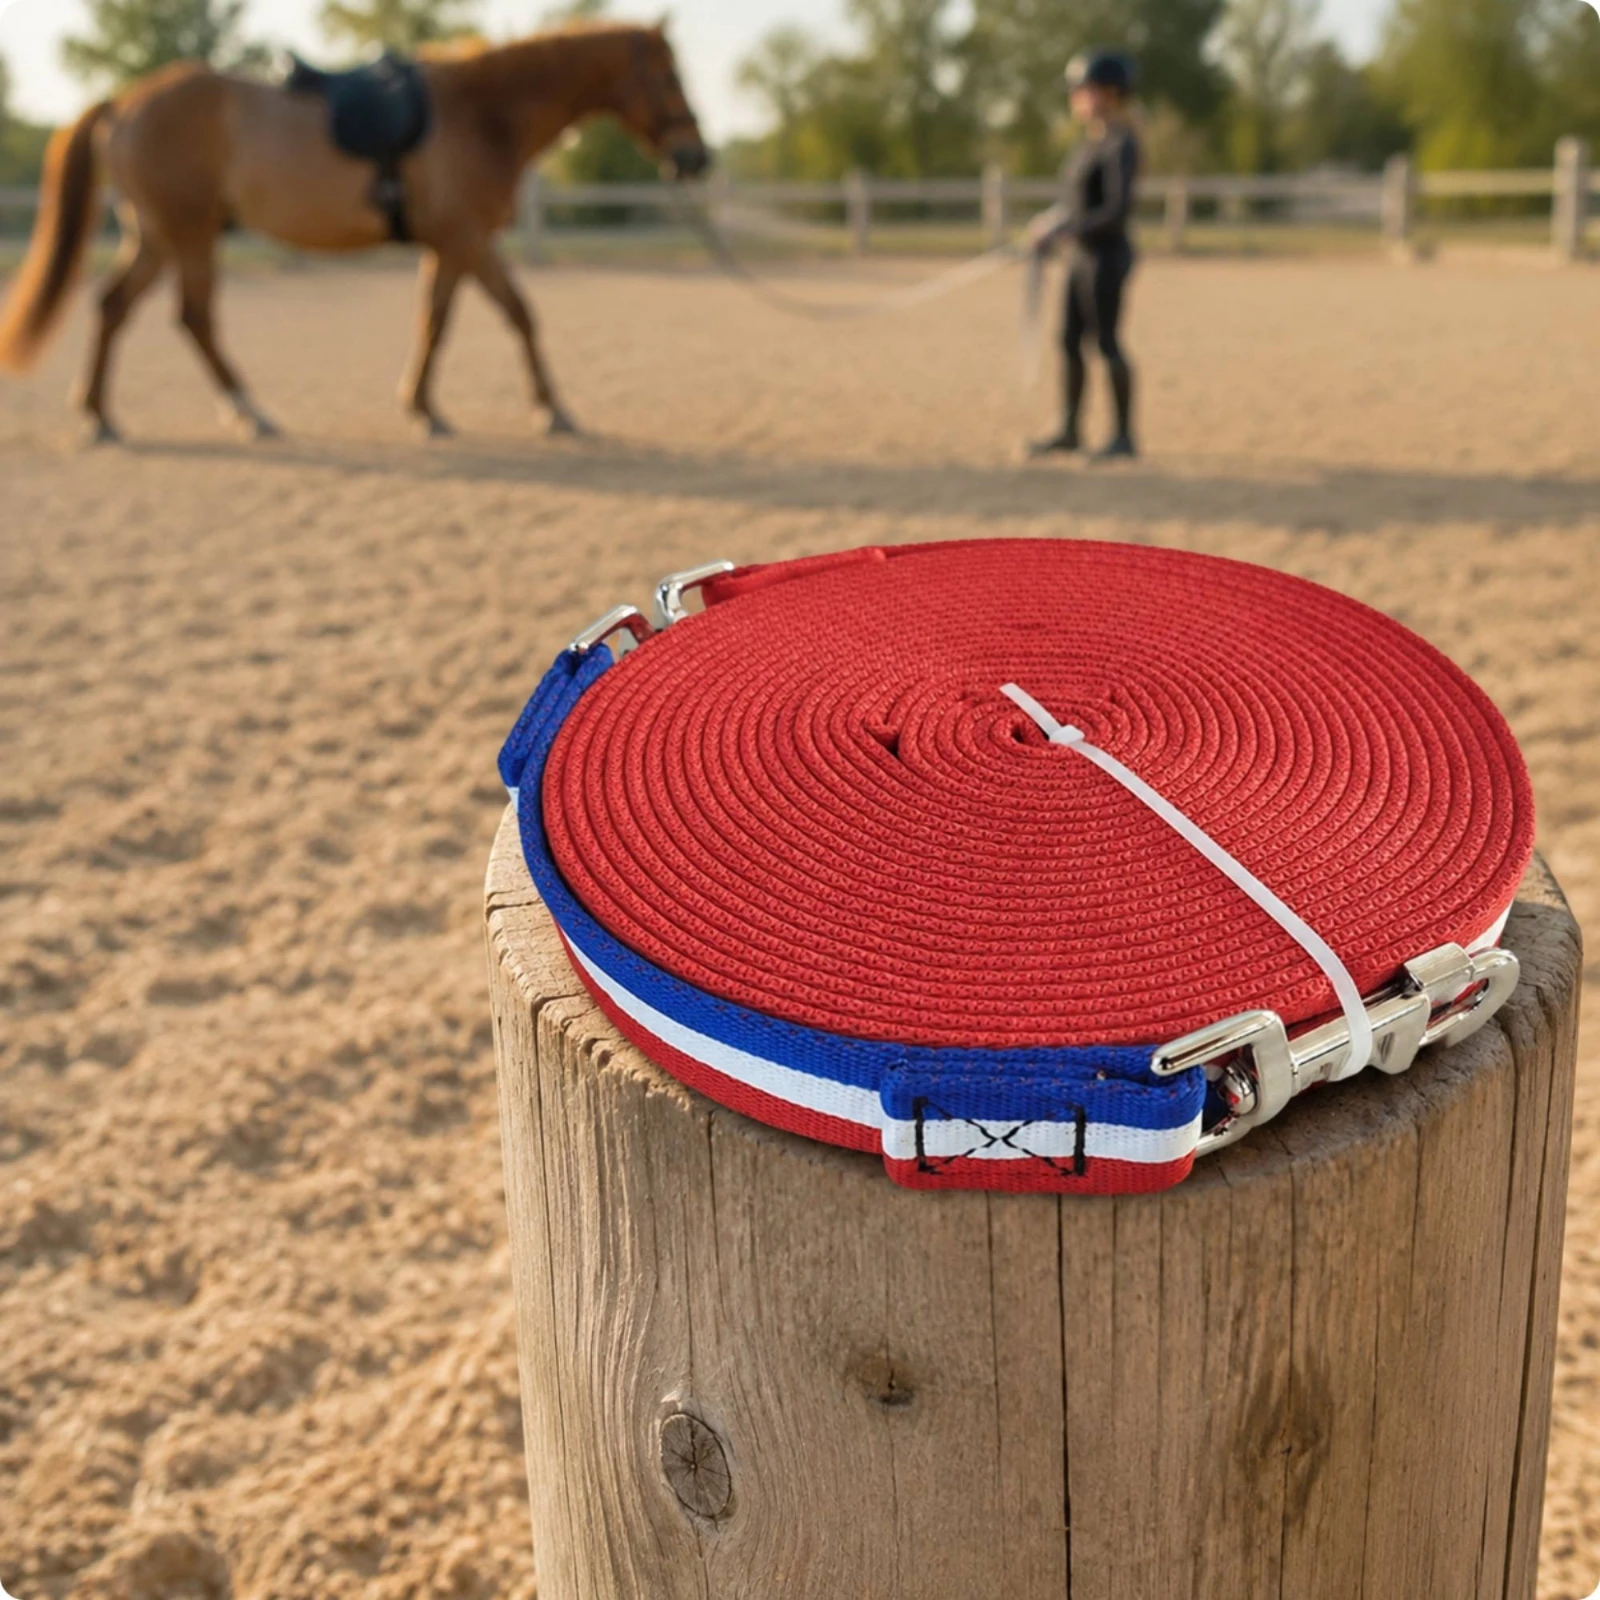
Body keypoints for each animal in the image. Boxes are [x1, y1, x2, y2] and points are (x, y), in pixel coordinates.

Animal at [0, 23, 709, 442]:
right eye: (670, 75)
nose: (696, 157)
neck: (481, 112)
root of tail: (124, 101)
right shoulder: (466, 239)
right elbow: (505, 315)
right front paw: (548, 410)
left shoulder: (452, 245)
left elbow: (445, 320)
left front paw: (425, 407)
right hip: (187, 233)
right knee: (193, 316)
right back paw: (249, 412)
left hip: (156, 235)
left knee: (114, 307)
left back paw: (99, 414)